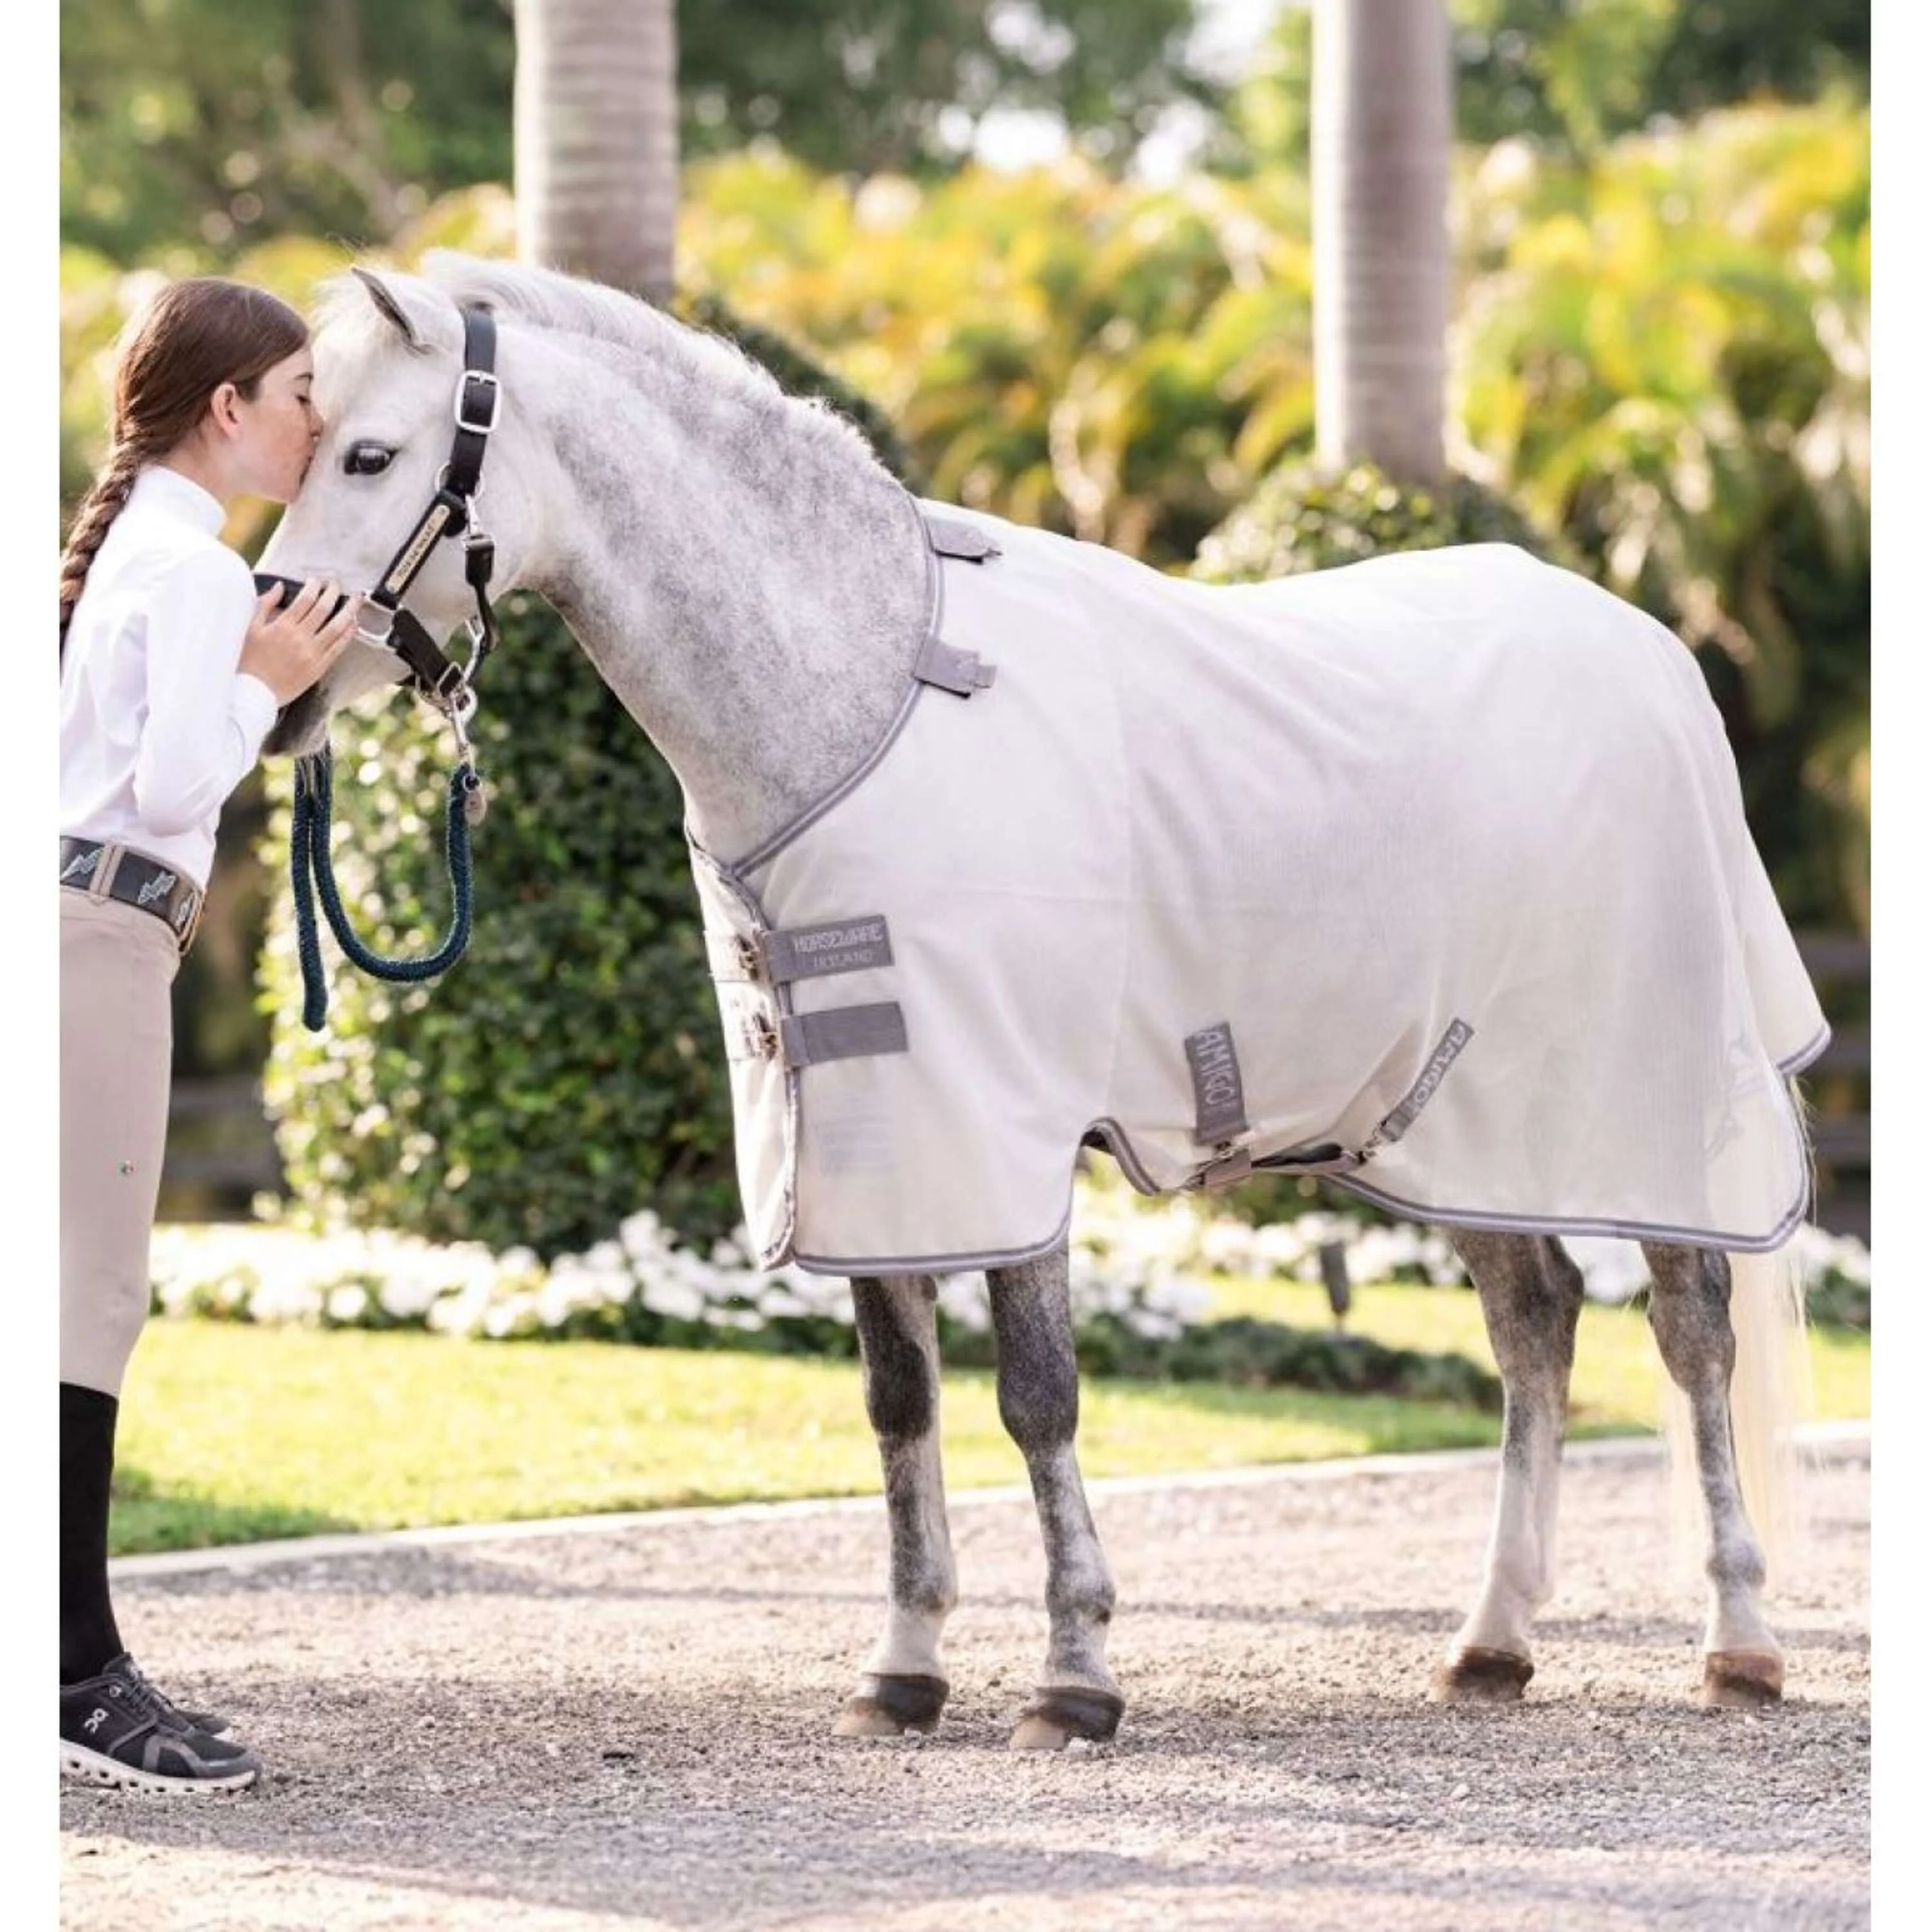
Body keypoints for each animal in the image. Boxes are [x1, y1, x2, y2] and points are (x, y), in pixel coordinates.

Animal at [257, 252, 1824, 1749]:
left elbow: (1036, 1396)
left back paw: (1739, 1644)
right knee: (1536, 1323)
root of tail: (1651, 648)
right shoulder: (875, 1132)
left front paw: (1075, 1677)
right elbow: (900, 1407)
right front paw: (903, 1672)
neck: (866, 692)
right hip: (1454, 1123)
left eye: (371, 456)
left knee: (1690, 1334)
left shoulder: (1003, 1126)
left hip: (1642, 1099)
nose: (277, 686)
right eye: (306, 442)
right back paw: (1491, 1645)